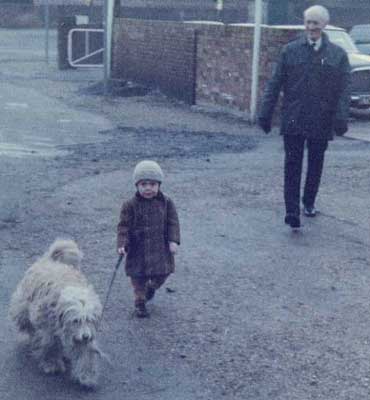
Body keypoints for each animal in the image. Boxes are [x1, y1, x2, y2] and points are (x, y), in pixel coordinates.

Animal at [9, 239, 104, 390]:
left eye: (90, 320)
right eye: (76, 321)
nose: (86, 336)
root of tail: (50, 260)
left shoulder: (83, 336)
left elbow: (85, 354)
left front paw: (87, 376)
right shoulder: (49, 331)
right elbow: (50, 346)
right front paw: (51, 363)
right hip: (23, 306)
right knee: (26, 322)